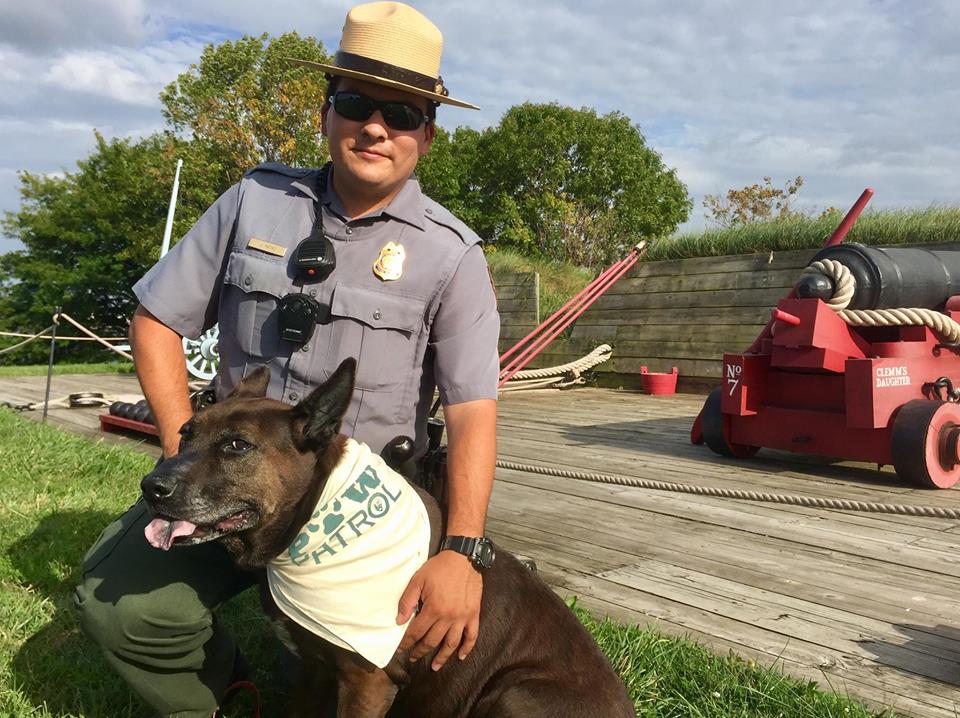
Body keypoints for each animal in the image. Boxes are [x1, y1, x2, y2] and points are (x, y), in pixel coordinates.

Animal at [141, 360, 636, 718]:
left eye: (237, 446)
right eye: (185, 434)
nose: (151, 487)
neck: (314, 517)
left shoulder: (368, 683)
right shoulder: (312, 671)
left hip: (516, 693)